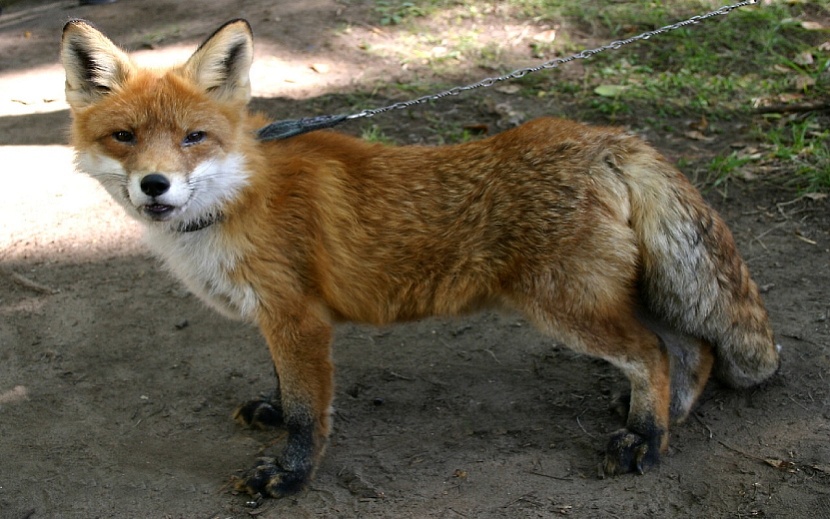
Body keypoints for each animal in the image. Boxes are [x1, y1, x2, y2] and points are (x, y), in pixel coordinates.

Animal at [61, 19, 784, 500]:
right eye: (124, 137)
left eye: (194, 138)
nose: (155, 186)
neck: (234, 202)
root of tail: (600, 137)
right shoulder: (280, 319)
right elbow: (285, 389)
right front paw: (273, 411)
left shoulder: (300, 318)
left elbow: (307, 412)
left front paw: (289, 476)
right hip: (609, 295)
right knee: (692, 348)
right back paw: (663, 421)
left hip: (567, 307)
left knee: (656, 353)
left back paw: (645, 441)